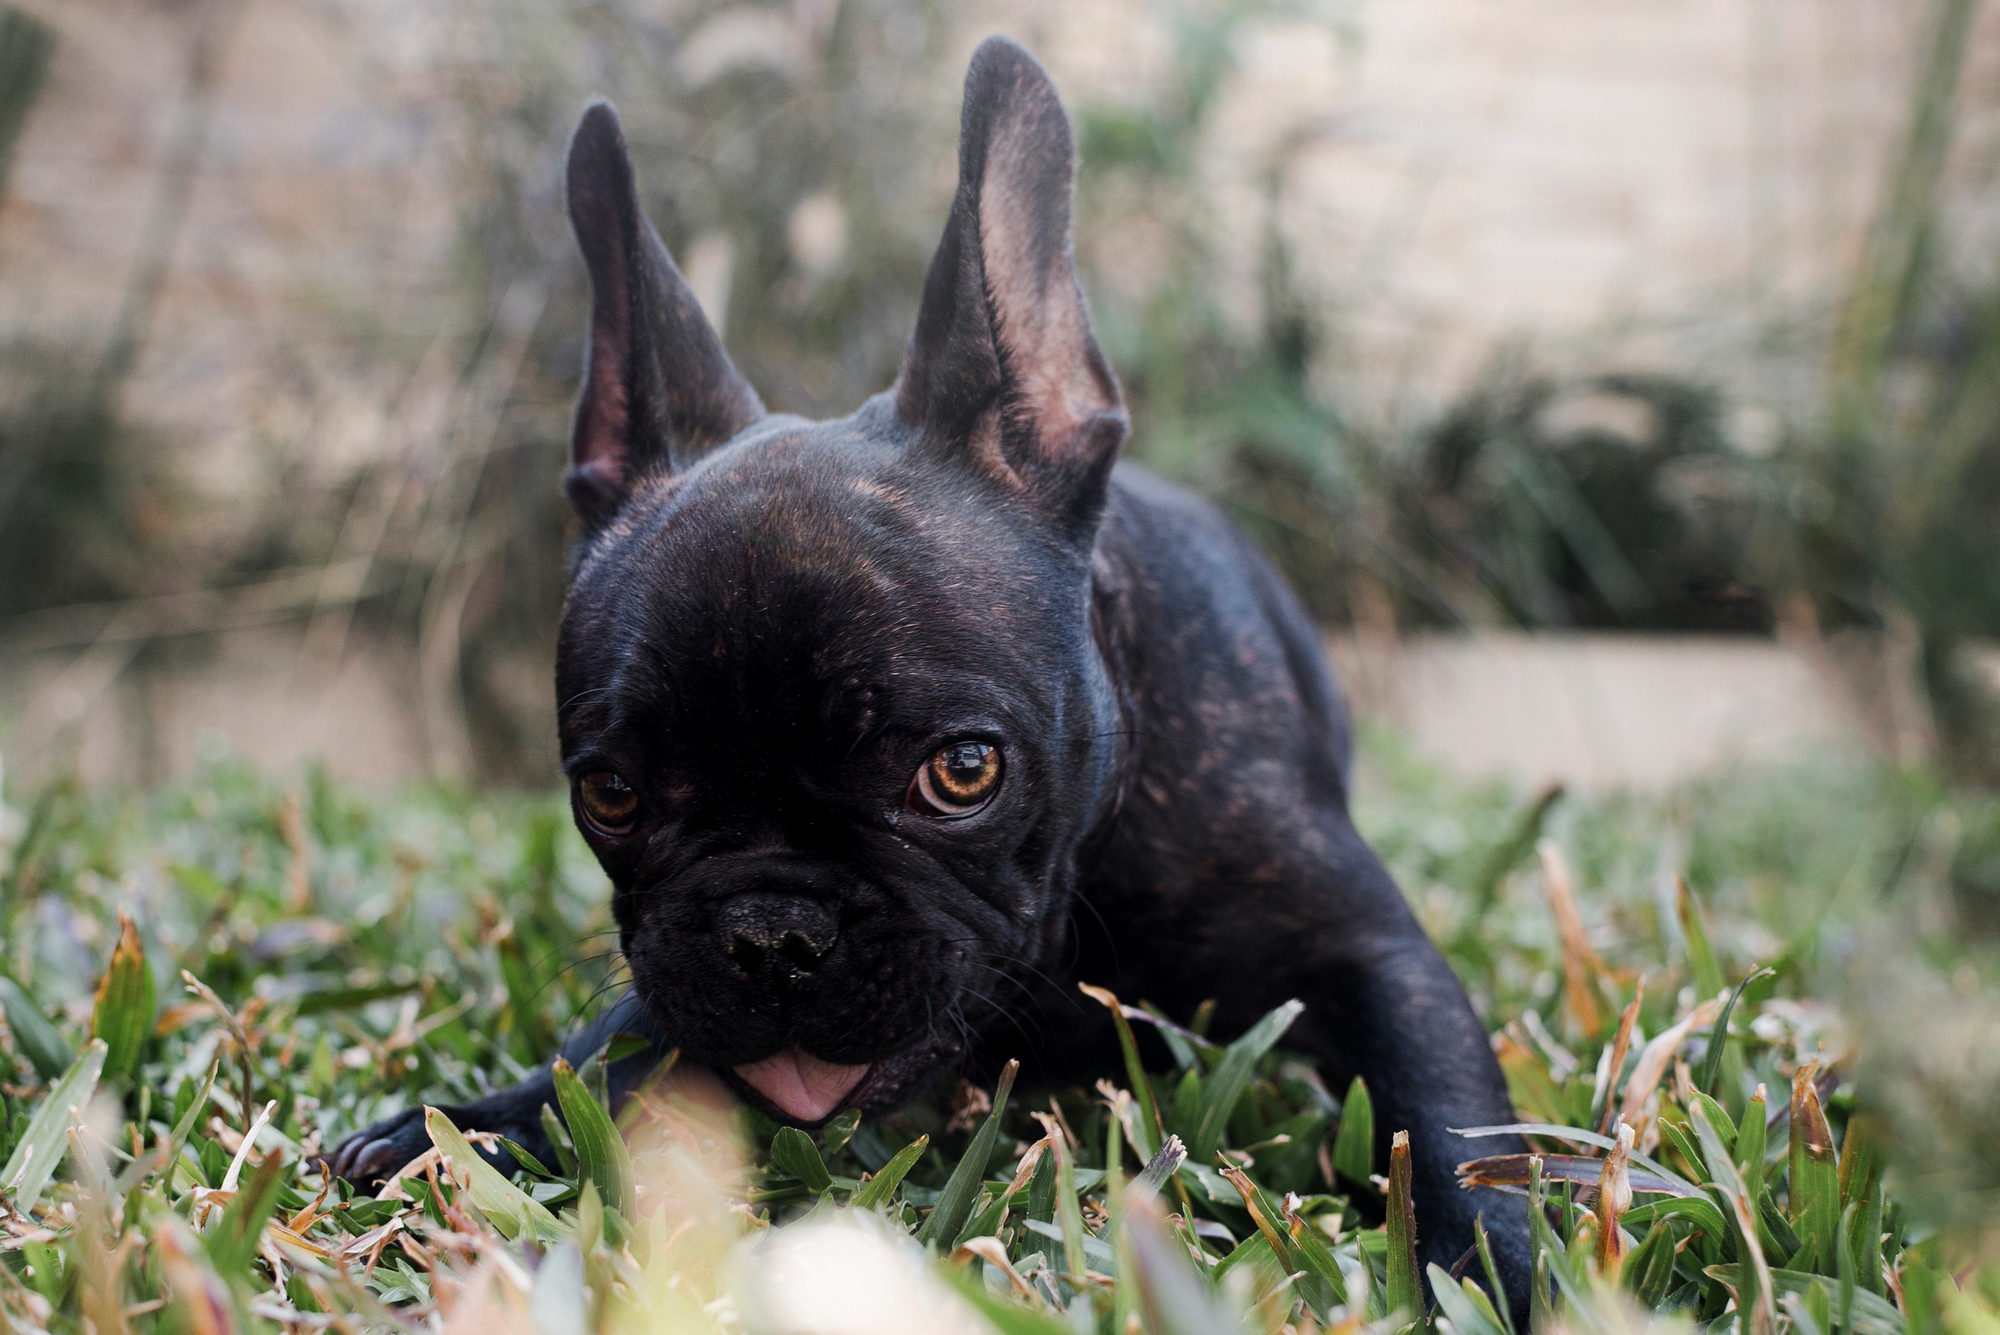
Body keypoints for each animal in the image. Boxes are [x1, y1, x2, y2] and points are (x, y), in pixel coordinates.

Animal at [336, 33, 1528, 1303]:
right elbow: (611, 1050)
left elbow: (1448, 1116)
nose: (771, 932)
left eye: (962, 772)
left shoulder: (1364, 947)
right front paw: (475, 1124)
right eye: (610, 795)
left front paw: (1482, 1267)